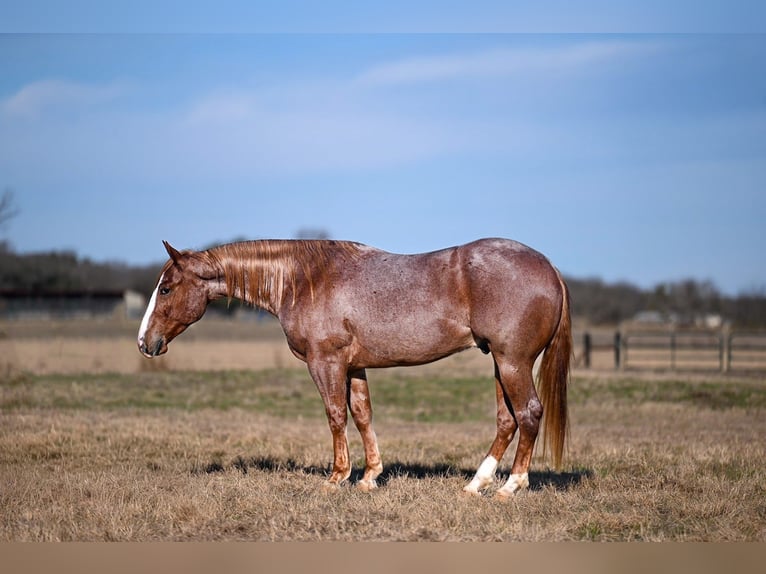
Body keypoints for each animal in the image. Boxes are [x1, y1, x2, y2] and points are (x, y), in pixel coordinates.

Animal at [137, 238, 571, 498]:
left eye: (167, 288)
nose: (145, 343)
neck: (304, 280)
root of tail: (550, 268)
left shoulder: (325, 362)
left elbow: (335, 415)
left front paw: (336, 477)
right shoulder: (355, 366)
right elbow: (362, 415)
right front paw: (369, 476)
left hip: (512, 362)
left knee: (529, 414)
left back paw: (510, 486)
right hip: (499, 362)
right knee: (507, 420)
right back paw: (476, 483)